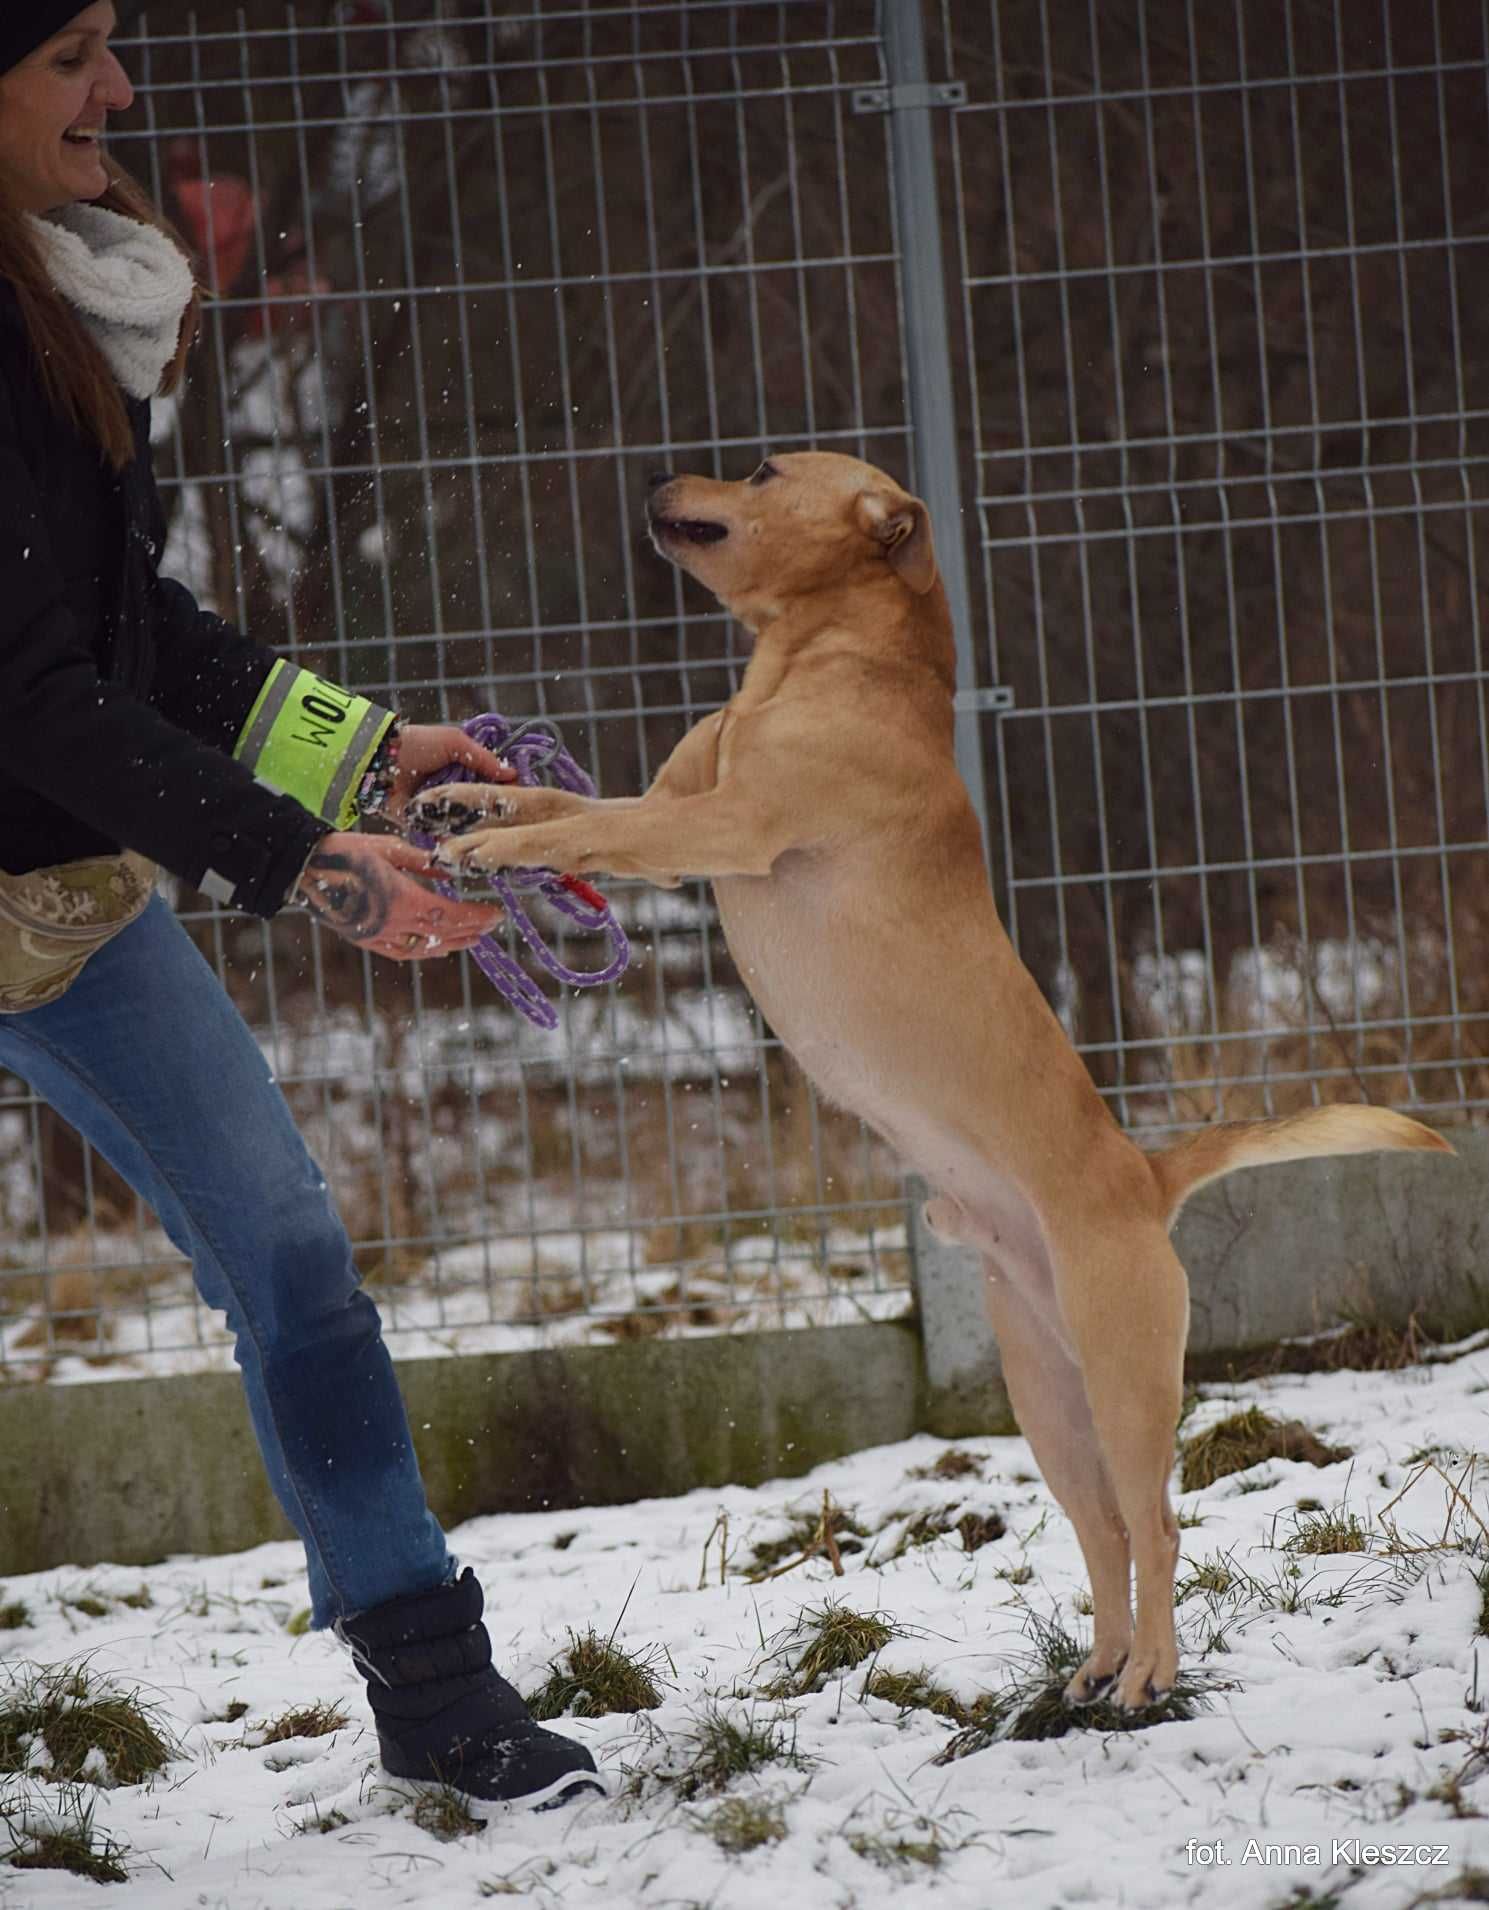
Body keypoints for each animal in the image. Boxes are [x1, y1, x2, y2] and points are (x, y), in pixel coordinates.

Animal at [416, 454, 1450, 1711]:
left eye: (762, 469)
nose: (661, 474)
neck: (819, 657)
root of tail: (1145, 1175)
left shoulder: (719, 825)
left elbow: (588, 832)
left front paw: (485, 847)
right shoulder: (671, 803)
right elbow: (566, 807)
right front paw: (466, 801)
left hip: (1124, 1376)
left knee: (1156, 1523)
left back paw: (1150, 1671)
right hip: (1043, 1389)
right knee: (1102, 1527)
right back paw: (1099, 1663)